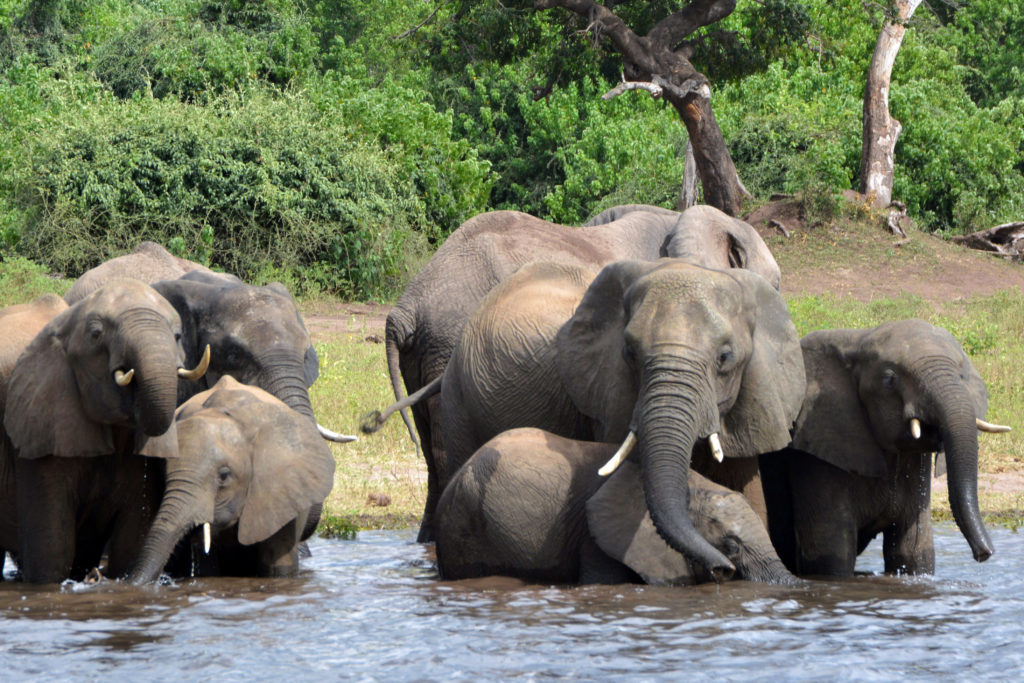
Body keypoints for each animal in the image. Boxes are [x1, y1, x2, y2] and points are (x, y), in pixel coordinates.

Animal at [761, 321, 1007, 577]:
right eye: (889, 380)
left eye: (961, 376)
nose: (983, 555)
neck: (858, 340)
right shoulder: (815, 453)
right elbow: (831, 557)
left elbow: (914, 551)